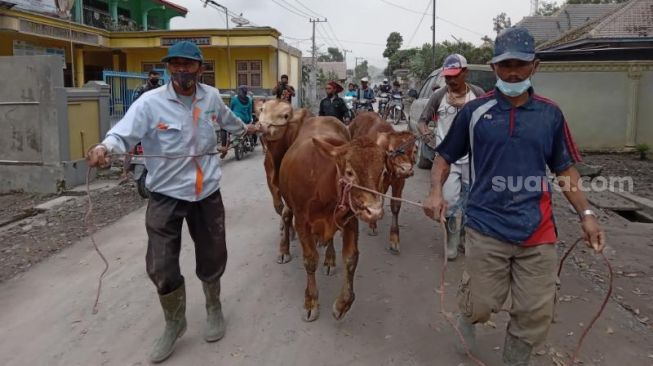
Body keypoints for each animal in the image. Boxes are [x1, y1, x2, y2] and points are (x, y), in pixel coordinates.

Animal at [256, 100, 312, 264]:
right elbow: (279, 208)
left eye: (285, 115)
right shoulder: (270, 179)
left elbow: (286, 213)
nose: (262, 126)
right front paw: (289, 231)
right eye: (262, 109)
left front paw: (283, 249)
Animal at [278, 116, 390, 320]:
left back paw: (329, 259)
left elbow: (351, 259)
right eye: (349, 172)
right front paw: (311, 301)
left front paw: (342, 304)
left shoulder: (351, 219)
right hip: (289, 204)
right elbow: (310, 260)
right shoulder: (302, 222)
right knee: (285, 216)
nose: (374, 211)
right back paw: (284, 250)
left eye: (383, 172)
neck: (323, 185)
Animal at [348, 111, 416, 254]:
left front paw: (394, 239)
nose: (406, 169)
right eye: (391, 150)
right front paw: (372, 224)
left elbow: (395, 206)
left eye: (414, 151)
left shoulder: (399, 182)